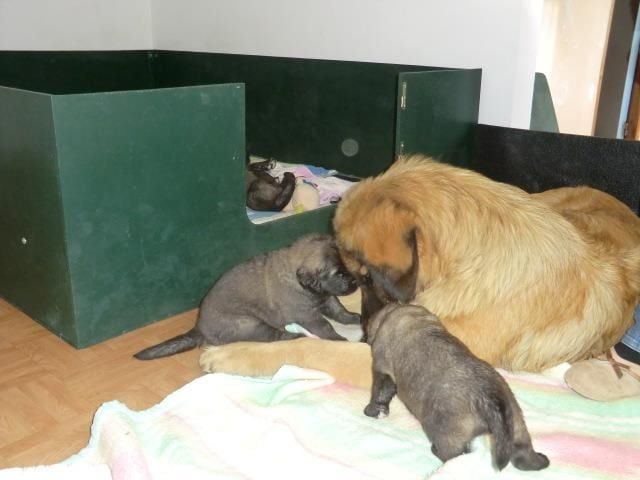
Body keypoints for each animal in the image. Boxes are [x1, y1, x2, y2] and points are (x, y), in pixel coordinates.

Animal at [134, 232, 360, 360]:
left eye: (348, 266)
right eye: (339, 273)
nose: (356, 281)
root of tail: (199, 329)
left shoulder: (327, 297)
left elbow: (340, 311)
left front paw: (354, 318)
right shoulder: (307, 315)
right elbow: (325, 325)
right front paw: (338, 339)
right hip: (251, 324)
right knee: (276, 337)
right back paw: (295, 336)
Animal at [362, 304, 548, 472]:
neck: (413, 316)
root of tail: (489, 396)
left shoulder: (382, 369)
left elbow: (379, 393)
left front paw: (372, 411)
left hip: (446, 434)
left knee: (454, 454)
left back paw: (439, 453)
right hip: (516, 424)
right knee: (523, 453)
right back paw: (539, 461)